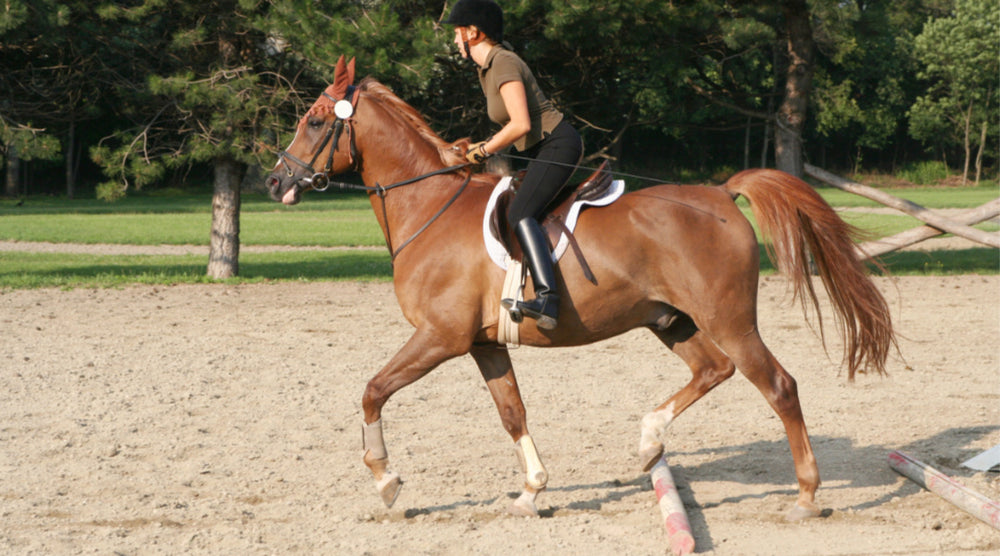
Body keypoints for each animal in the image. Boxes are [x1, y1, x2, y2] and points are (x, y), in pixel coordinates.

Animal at [264, 57, 892, 520]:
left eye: (315, 121)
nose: (274, 182)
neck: (428, 205)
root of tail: (720, 193)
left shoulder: (440, 337)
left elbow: (373, 390)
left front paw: (387, 481)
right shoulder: (482, 344)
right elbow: (512, 413)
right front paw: (531, 491)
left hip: (729, 319)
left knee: (778, 386)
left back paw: (806, 495)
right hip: (669, 319)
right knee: (714, 369)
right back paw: (649, 441)